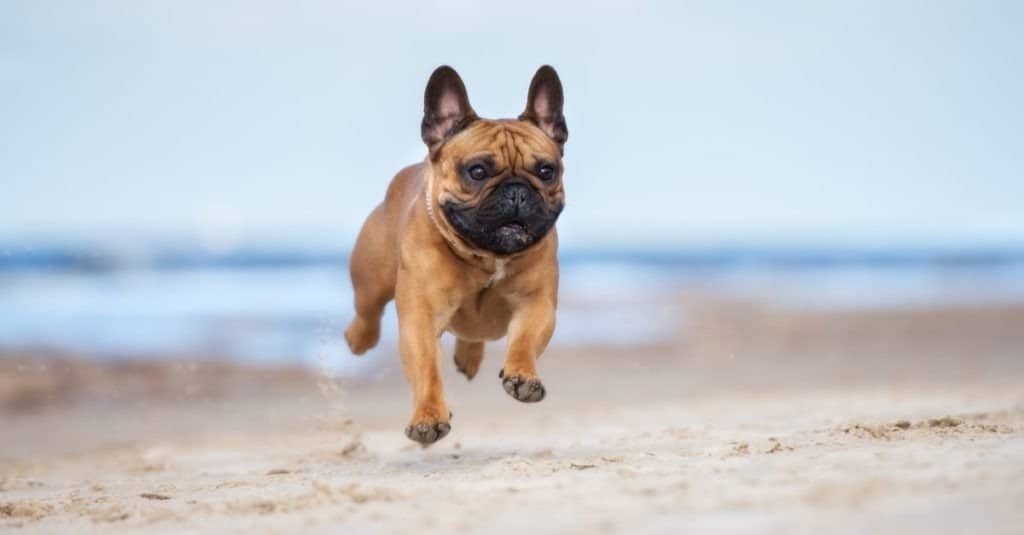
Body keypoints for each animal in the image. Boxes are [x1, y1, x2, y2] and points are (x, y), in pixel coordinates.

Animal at [344, 65, 569, 440]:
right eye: (477, 171)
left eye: (546, 171)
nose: (517, 191)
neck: (485, 257)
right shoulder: (420, 319)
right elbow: (426, 370)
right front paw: (428, 416)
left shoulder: (536, 305)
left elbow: (524, 341)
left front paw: (523, 376)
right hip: (371, 280)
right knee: (368, 311)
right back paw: (357, 339)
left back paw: (469, 357)